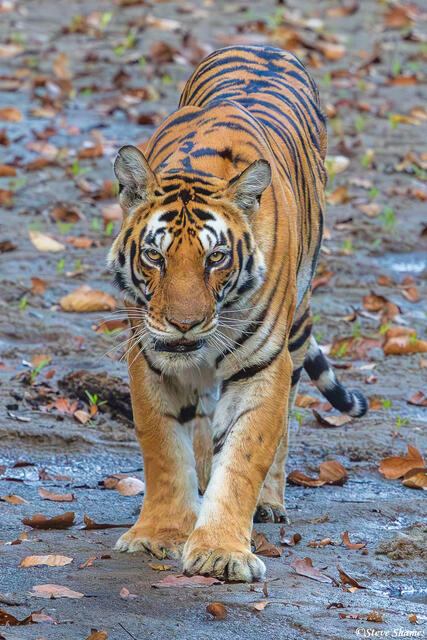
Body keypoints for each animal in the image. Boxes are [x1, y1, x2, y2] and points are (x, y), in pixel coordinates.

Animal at [107, 44, 367, 583]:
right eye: (155, 256)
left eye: (216, 258)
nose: (184, 324)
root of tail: (262, 44)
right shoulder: (150, 358)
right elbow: (163, 448)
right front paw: (160, 534)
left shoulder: (263, 365)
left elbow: (248, 455)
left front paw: (221, 551)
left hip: (293, 336)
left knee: (281, 426)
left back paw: (268, 503)